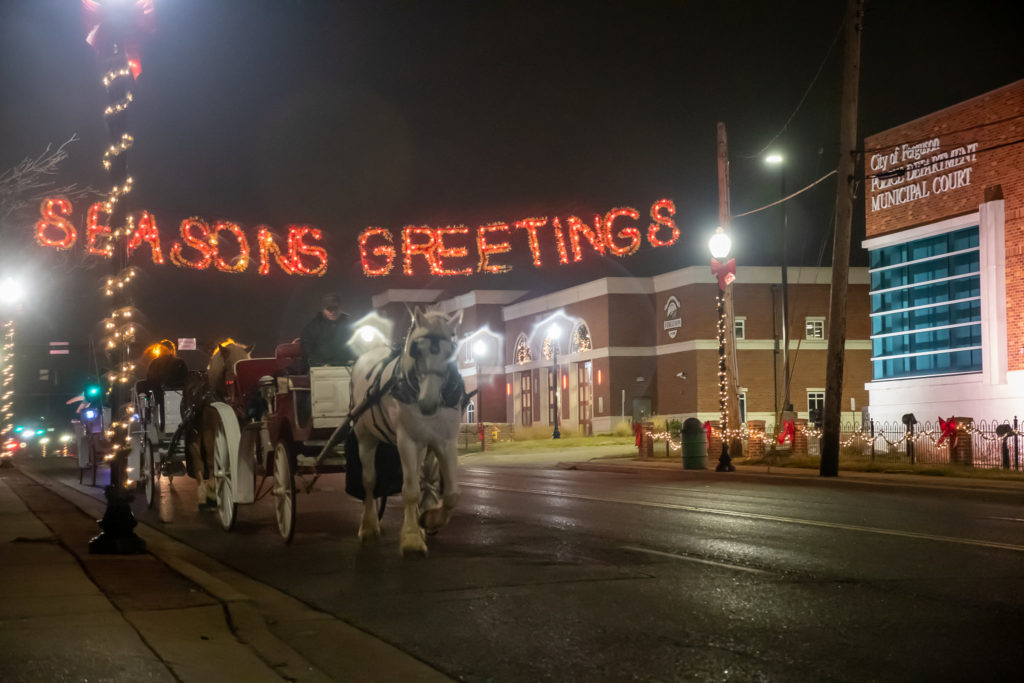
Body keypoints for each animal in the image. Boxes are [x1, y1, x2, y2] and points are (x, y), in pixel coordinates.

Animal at [352, 309, 464, 557]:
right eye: (416, 350)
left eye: (451, 352)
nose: (428, 404)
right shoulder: (407, 440)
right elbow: (410, 490)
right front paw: (412, 539)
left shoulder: (446, 441)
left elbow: (452, 494)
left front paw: (429, 520)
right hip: (365, 437)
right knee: (369, 481)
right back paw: (368, 526)